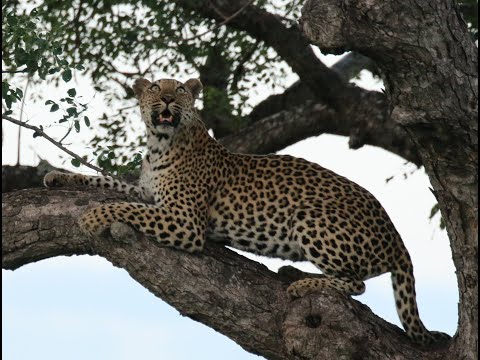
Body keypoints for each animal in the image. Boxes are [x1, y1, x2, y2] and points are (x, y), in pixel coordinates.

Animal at [44, 76, 450, 346]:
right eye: (156, 88)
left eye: (180, 90)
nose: (168, 101)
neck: (160, 146)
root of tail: (396, 237)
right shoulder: (148, 193)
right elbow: (108, 183)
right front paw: (56, 175)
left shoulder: (185, 221)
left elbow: (123, 206)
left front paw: (92, 217)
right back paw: (292, 271)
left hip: (310, 217)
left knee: (357, 283)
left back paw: (302, 281)